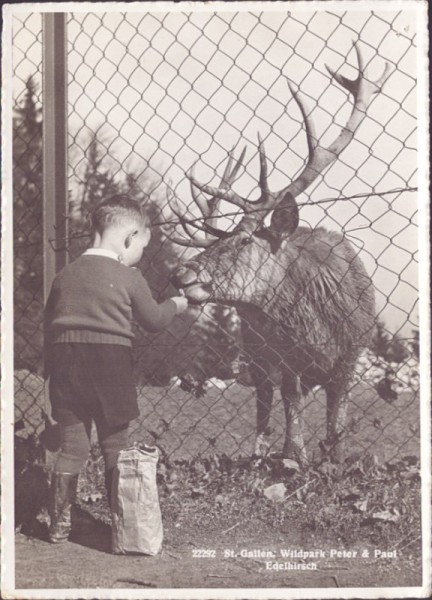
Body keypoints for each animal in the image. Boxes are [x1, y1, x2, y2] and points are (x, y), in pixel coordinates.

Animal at [167, 44, 390, 462]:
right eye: (214, 243)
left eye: (243, 241)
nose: (180, 274)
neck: (319, 331)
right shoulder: (283, 358)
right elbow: (289, 402)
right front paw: (292, 455)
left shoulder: (353, 351)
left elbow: (337, 418)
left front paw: (330, 456)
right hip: (254, 353)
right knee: (264, 402)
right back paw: (260, 453)